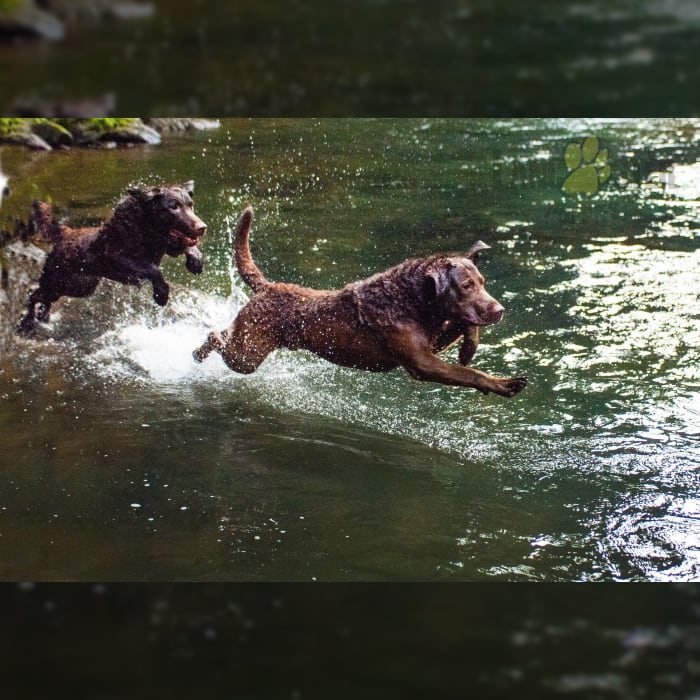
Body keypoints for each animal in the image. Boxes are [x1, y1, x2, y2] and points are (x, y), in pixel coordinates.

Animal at [194, 205, 528, 396]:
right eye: (466, 285)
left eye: (482, 283)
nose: (500, 310)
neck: (410, 299)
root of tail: (267, 286)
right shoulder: (421, 363)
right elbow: (469, 374)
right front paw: (504, 384)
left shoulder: (431, 343)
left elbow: (463, 326)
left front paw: (469, 347)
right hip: (247, 355)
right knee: (217, 337)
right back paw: (199, 351)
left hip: (248, 348)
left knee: (224, 333)